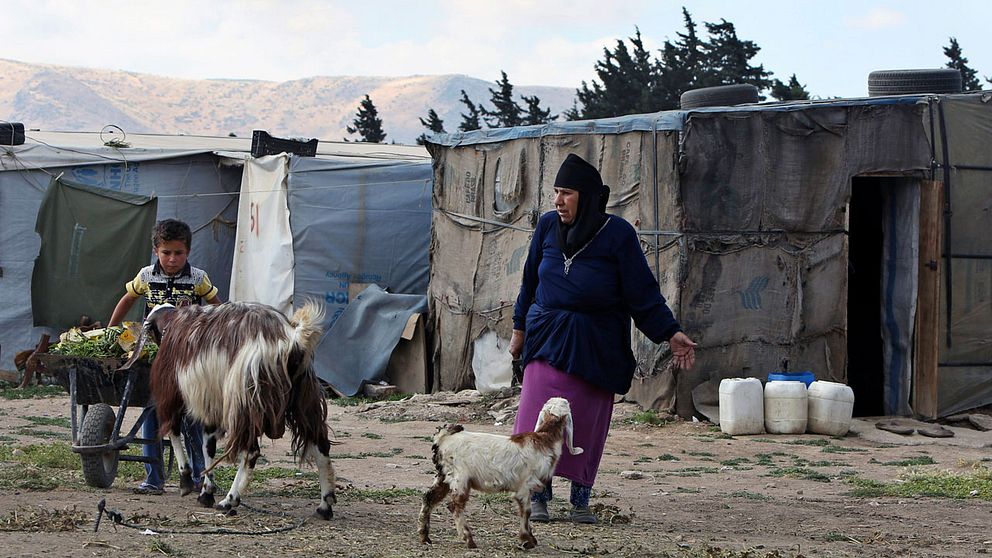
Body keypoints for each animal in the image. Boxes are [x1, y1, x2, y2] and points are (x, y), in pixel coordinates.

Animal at [119, 302, 338, 520]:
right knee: (321, 446)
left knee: (251, 451)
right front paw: (206, 492)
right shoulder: (211, 405)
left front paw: (187, 481)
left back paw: (229, 501)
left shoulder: (171, 393)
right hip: (304, 402)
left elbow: (173, 431)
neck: (173, 323)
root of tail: (292, 339)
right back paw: (325, 506)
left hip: (245, 404)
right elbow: (207, 446)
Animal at [416, 398, 580, 552]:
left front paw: (531, 539)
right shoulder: (524, 486)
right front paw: (527, 540)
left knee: (428, 498)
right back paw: (469, 540)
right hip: (459, 477)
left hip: (443, 476)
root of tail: (443, 439)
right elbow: (526, 511)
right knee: (454, 505)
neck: (544, 440)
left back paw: (425, 537)